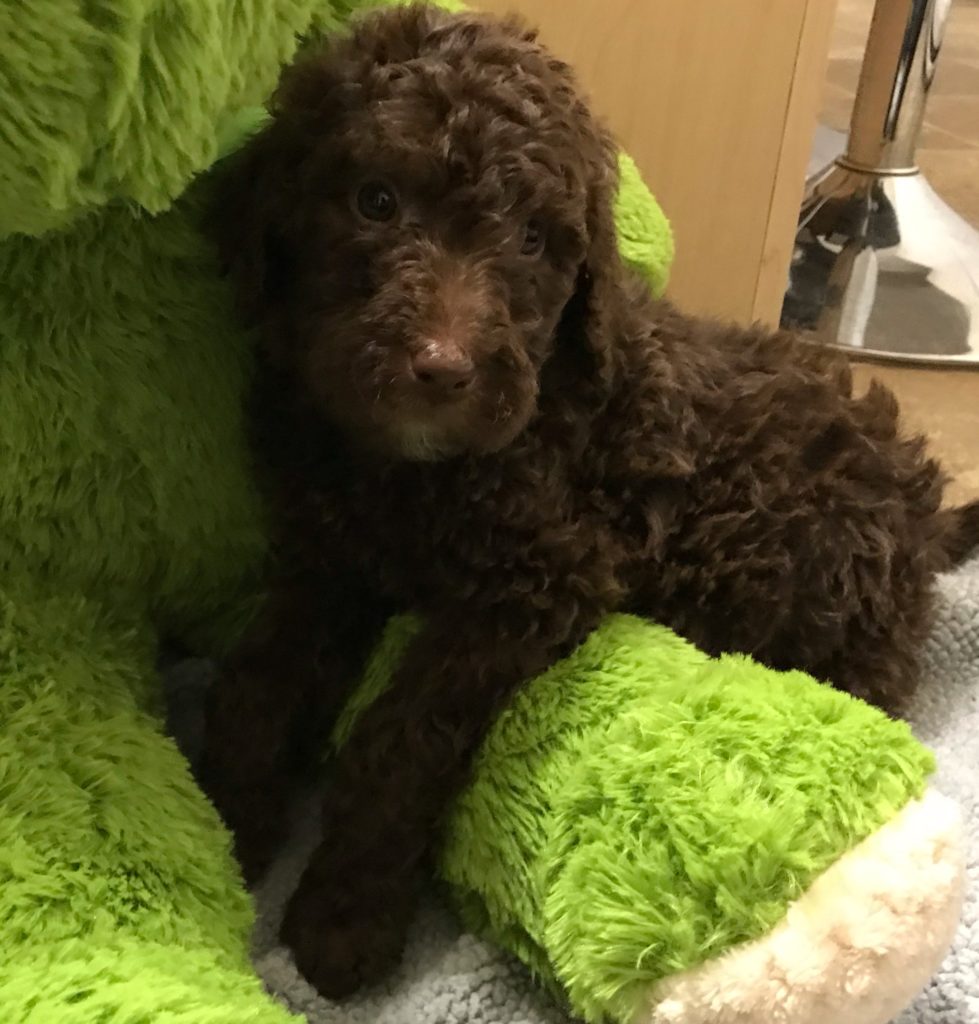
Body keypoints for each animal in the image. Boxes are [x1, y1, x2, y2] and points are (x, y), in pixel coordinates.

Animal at [198, 2, 979, 999]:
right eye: (375, 202)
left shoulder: (545, 574)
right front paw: (228, 813)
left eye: (533, 242)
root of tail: (922, 516)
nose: (443, 371)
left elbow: (399, 734)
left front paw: (345, 913)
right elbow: (261, 675)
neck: (409, 472)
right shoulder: (327, 551)